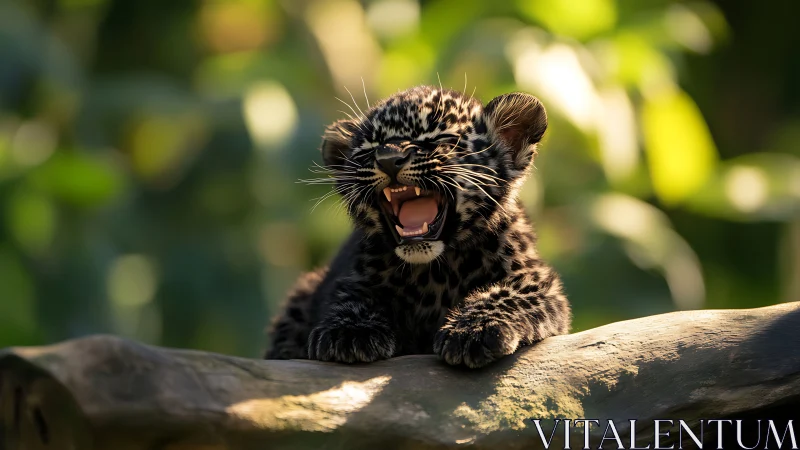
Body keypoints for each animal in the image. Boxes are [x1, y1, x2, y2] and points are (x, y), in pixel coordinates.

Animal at [264, 85, 571, 368]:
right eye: (369, 150)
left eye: (440, 140)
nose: (389, 160)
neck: (436, 273)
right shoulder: (351, 277)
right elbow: (353, 296)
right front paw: (350, 331)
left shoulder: (537, 279)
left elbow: (507, 294)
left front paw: (475, 330)